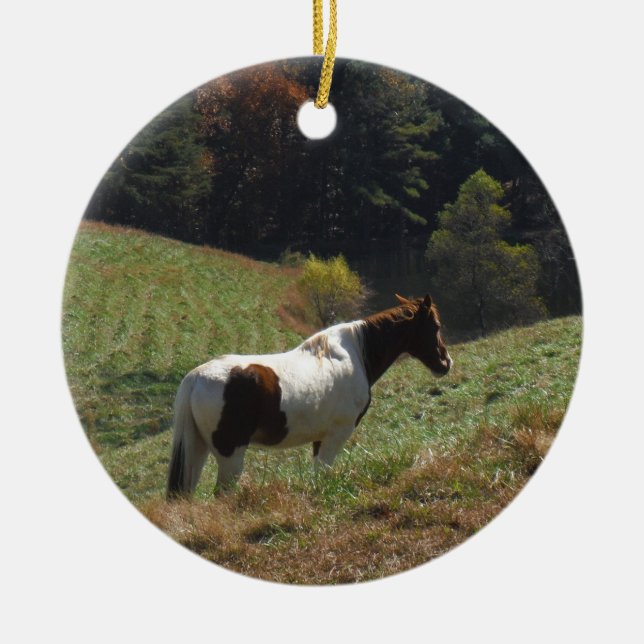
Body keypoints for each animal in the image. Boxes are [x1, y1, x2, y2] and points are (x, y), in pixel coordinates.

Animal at [167, 293, 452, 497]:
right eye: (436, 326)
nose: (445, 363)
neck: (355, 354)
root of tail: (196, 377)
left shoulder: (320, 438)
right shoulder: (336, 435)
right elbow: (324, 473)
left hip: (198, 449)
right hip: (230, 454)